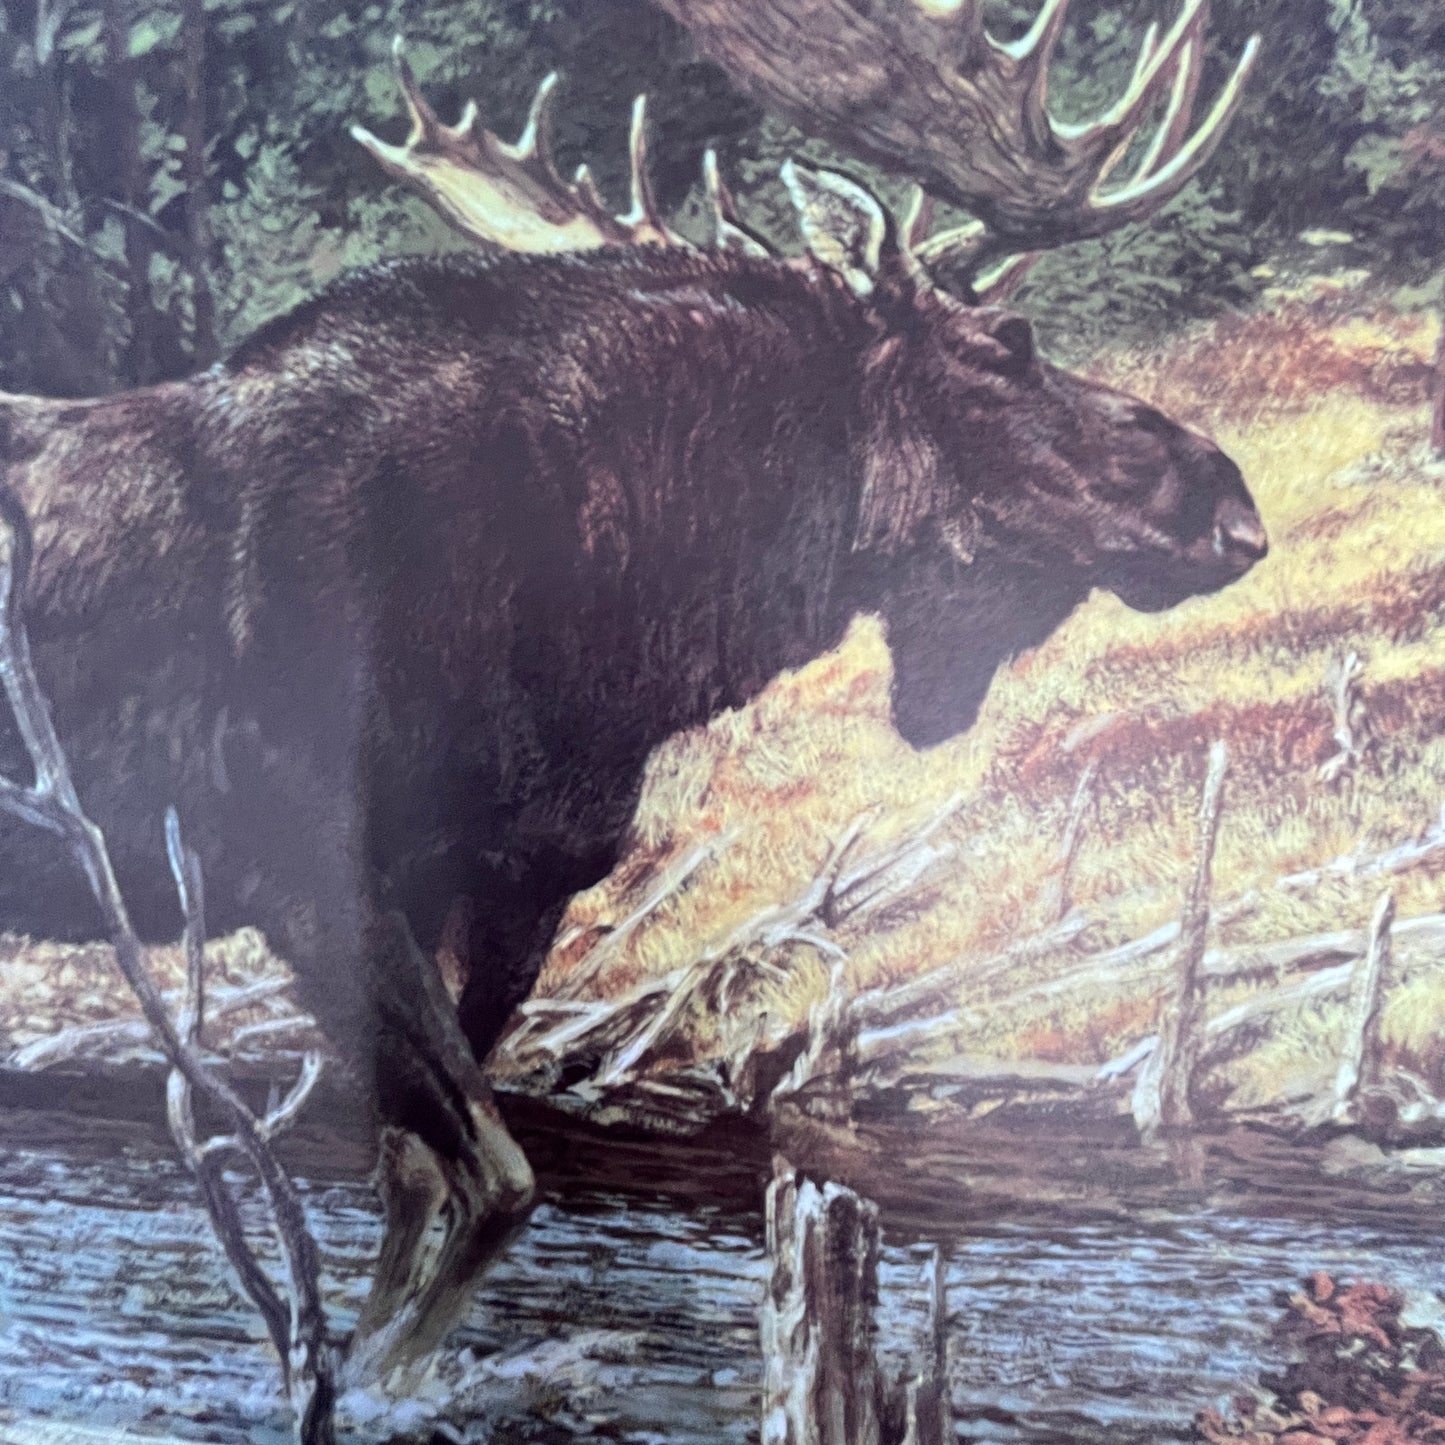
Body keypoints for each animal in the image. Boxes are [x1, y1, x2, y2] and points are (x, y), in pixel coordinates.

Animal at [0, 0, 1265, 1386]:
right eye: (1007, 345)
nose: (1232, 502)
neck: (618, 633)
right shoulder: (301, 872)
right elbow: (494, 1179)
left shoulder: (512, 884)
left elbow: (411, 1179)